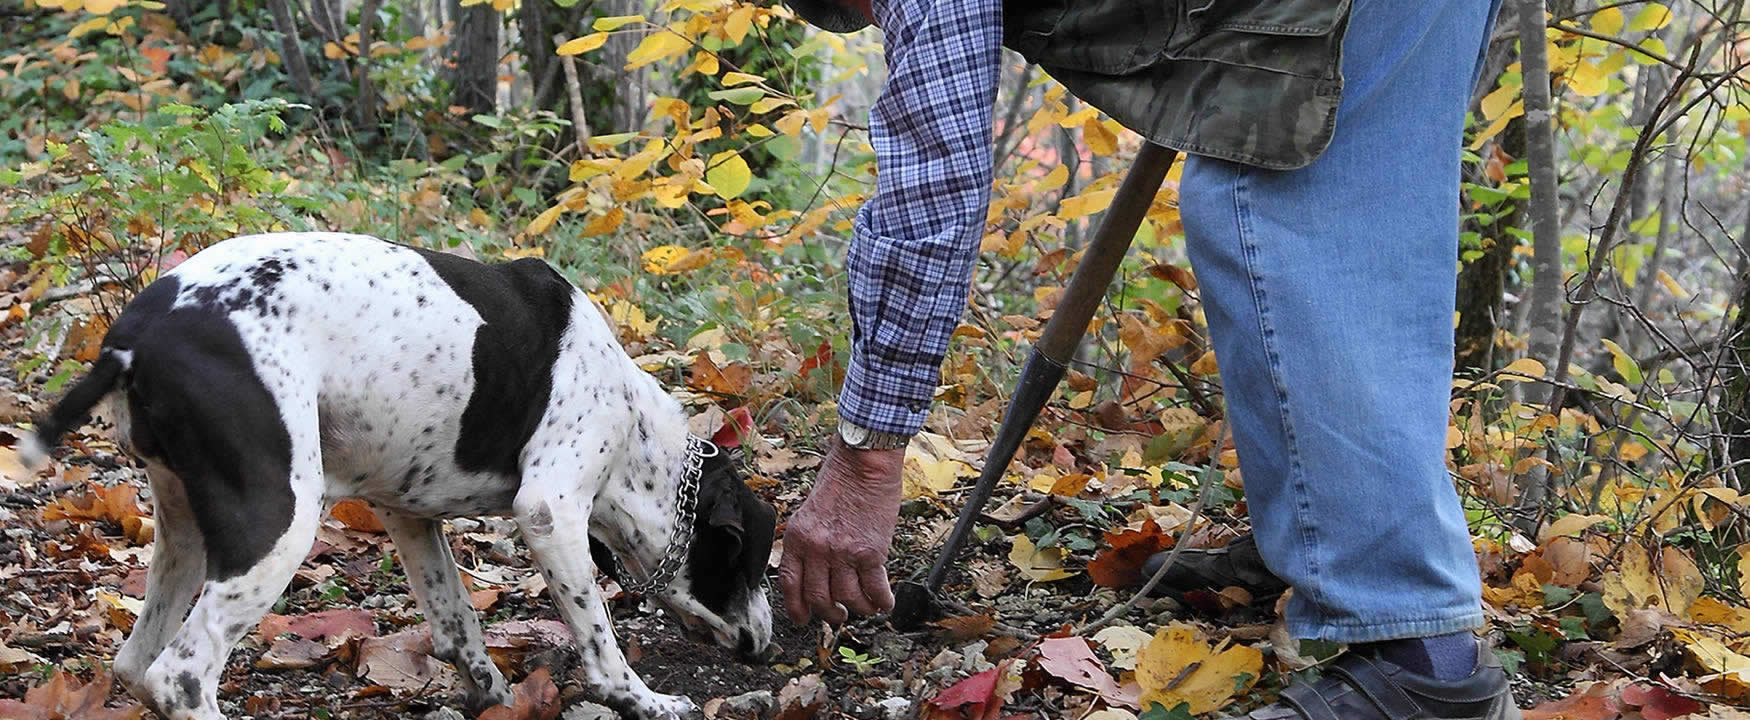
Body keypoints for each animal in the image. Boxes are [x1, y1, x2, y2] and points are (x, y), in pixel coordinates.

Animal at [23, 234, 777, 720]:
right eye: (751, 563)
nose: (767, 648)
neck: (636, 431)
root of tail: (133, 339)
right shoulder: (550, 511)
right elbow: (598, 635)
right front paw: (643, 699)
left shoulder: (408, 515)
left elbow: (456, 623)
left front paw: (494, 695)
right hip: (280, 522)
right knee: (181, 676)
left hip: (183, 530)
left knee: (135, 666)